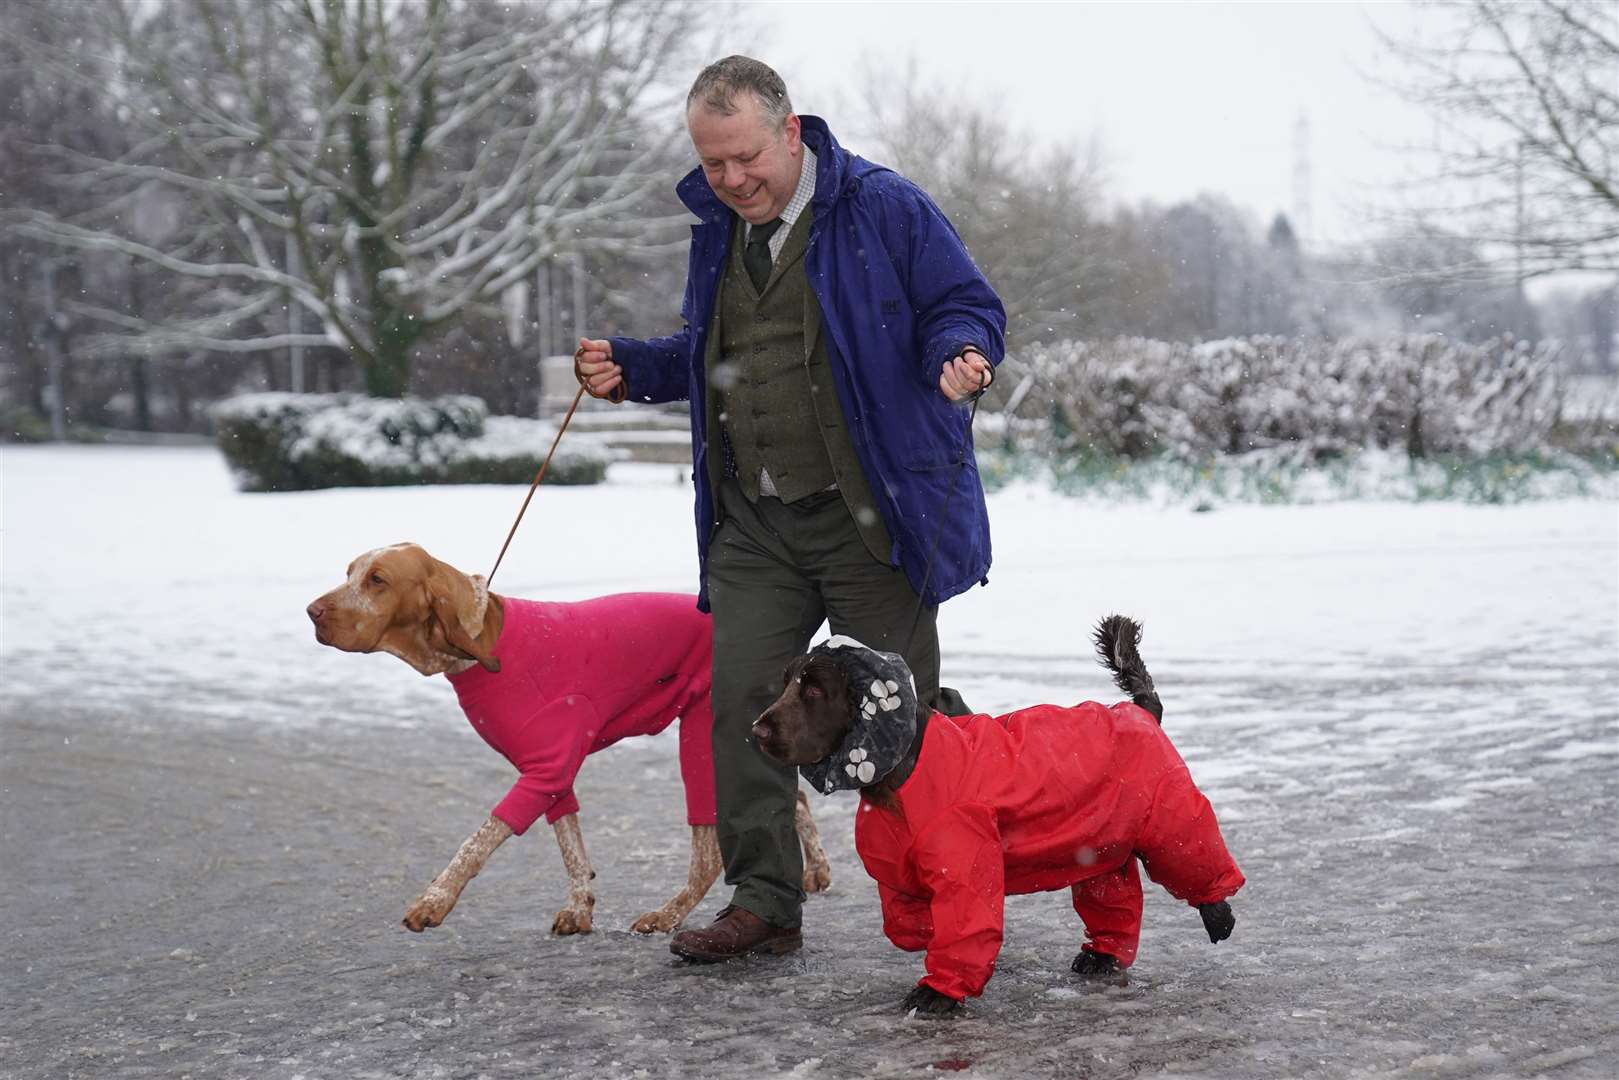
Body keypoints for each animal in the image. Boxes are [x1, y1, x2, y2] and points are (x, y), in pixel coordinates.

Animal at [305, 544, 835, 939]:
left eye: (377, 580)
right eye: (349, 572)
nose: (312, 612)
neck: (482, 642)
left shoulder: (546, 769)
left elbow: (477, 841)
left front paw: (435, 899)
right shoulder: (548, 775)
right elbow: (572, 846)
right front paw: (580, 908)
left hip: (703, 731)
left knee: (709, 856)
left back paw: (669, 914)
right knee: (797, 800)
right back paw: (816, 869)